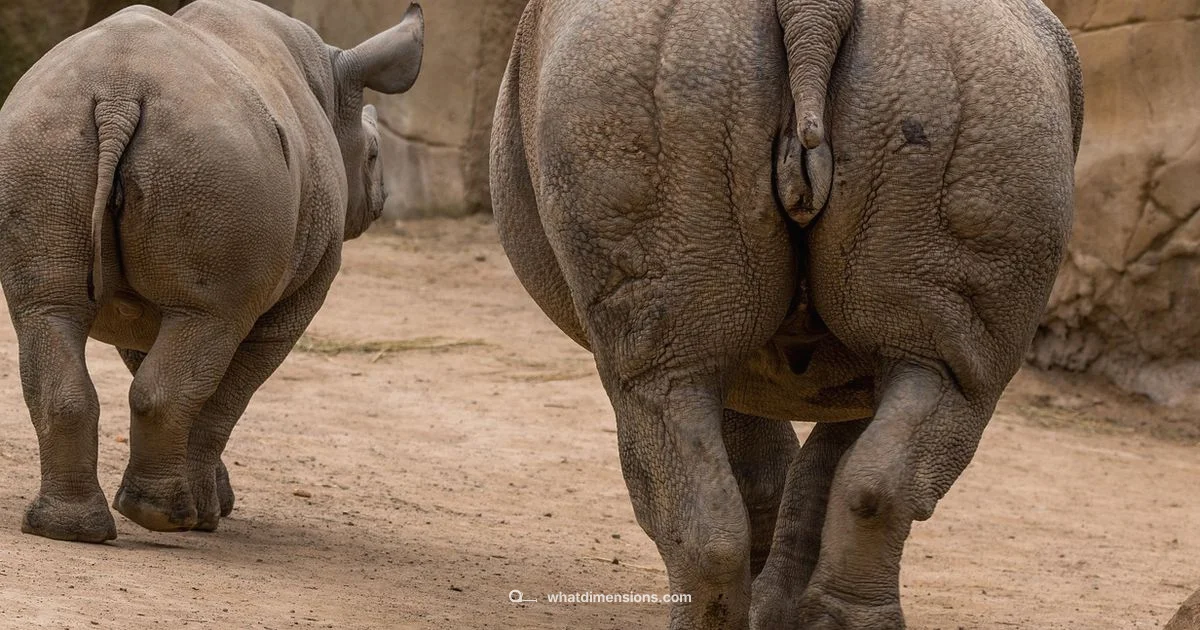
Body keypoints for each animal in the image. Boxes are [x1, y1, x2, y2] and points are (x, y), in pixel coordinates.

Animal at [0, 0, 423, 542]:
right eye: (372, 155)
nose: (382, 200)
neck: (333, 85)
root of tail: (117, 94)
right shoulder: (292, 295)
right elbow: (225, 395)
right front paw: (207, 513)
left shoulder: (150, 305)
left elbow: (170, 367)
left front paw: (213, 501)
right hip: (212, 161)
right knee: (204, 325)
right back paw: (166, 519)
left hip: (43, 143)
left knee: (46, 310)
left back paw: (66, 530)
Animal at [491, 0, 1082, 627]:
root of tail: (814, 11)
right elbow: (815, 459)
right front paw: (778, 610)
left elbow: (771, 454)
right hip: (976, 89)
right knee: (940, 379)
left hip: (660, 73)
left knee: (657, 385)